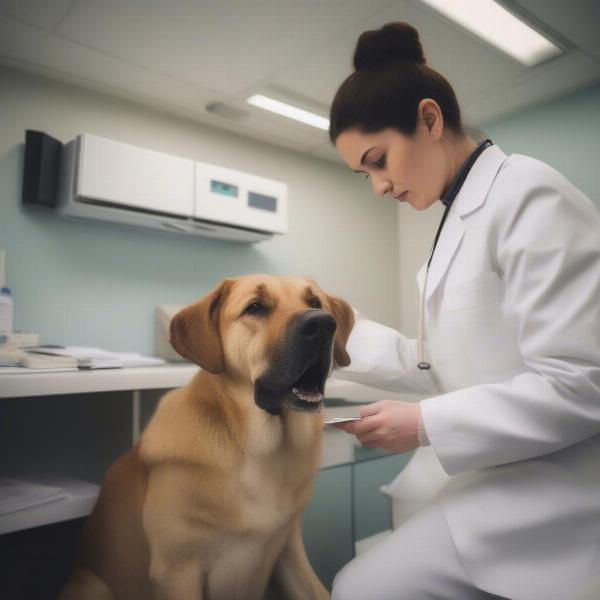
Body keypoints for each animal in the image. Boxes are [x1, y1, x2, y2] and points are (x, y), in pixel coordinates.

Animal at [57, 276, 352, 600]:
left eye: (315, 302)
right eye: (255, 307)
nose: (323, 324)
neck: (257, 451)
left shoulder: (288, 552)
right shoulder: (177, 572)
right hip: (91, 584)